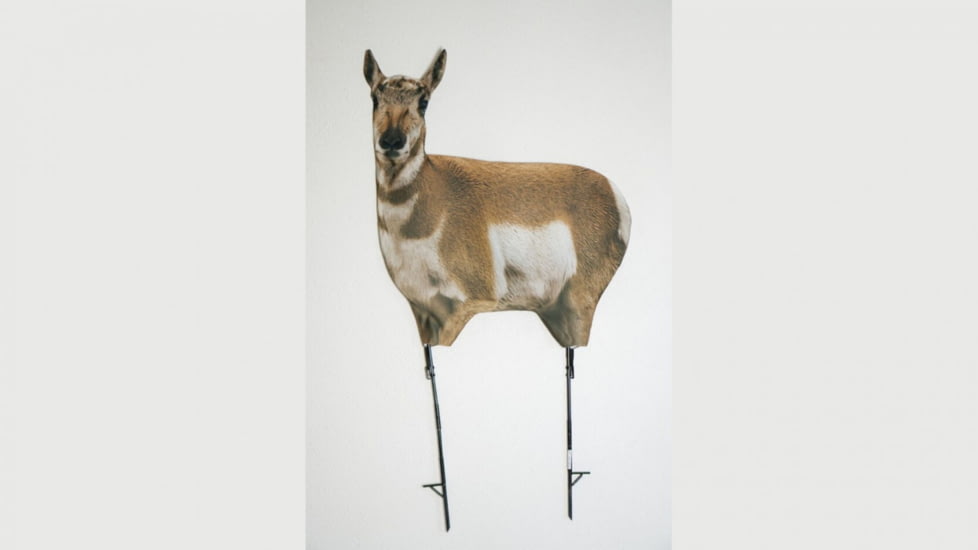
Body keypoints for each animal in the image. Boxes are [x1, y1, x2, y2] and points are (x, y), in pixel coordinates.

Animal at [364, 48, 630, 530]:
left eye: (424, 100)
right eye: (375, 97)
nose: (392, 141)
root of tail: (614, 191)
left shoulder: (466, 306)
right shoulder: (423, 316)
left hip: (578, 308)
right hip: (557, 312)